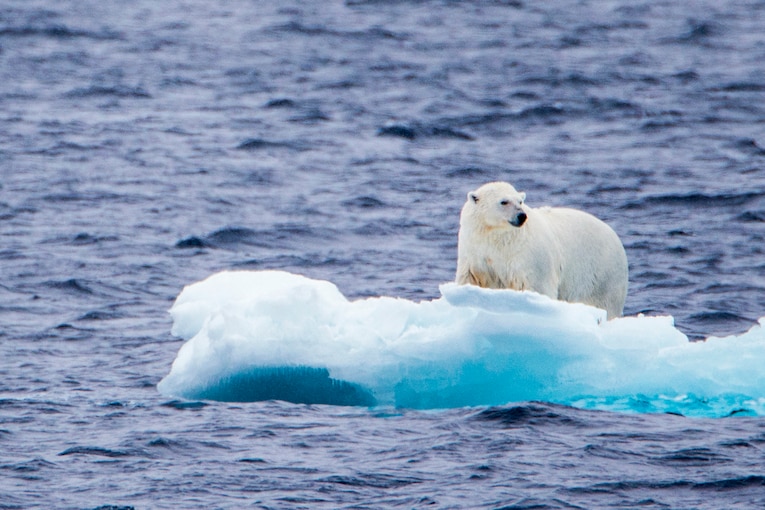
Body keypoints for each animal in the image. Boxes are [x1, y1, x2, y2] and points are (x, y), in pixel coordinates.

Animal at [454, 181, 628, 316]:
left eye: (520, 201)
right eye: (504, 201)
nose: (521, 216)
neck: (498, 238)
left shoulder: (528, 256)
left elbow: (538, 286)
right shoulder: (475, 250)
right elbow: (469, 278)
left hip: (603, 275)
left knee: (604, 304)